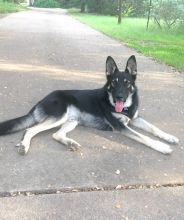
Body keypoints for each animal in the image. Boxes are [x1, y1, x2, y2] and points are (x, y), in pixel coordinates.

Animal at [0, 55, 179, 155]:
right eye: (114, 83)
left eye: (127, 83)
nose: (119, 97)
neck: (125, 107)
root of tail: (43, 99)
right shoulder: (121, 126)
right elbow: (144, 137)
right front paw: (162, 147)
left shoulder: (135, 118)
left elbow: (154, 128)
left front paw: (169, 137)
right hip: (60, 116)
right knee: (30, 130)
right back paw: (24, 146)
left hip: (72, 121)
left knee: (56, 134)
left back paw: (70, 143)